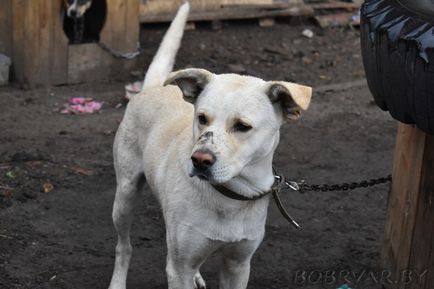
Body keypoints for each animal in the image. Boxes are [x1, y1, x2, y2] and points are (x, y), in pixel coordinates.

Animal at [108, 2, 312, 288]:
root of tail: (153, 87)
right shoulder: (178, 268)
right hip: (124, 197)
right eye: (202, 118)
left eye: (243, 126)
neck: (231, 196)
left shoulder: (238, 264)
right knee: (123, 247)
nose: (200, 161)